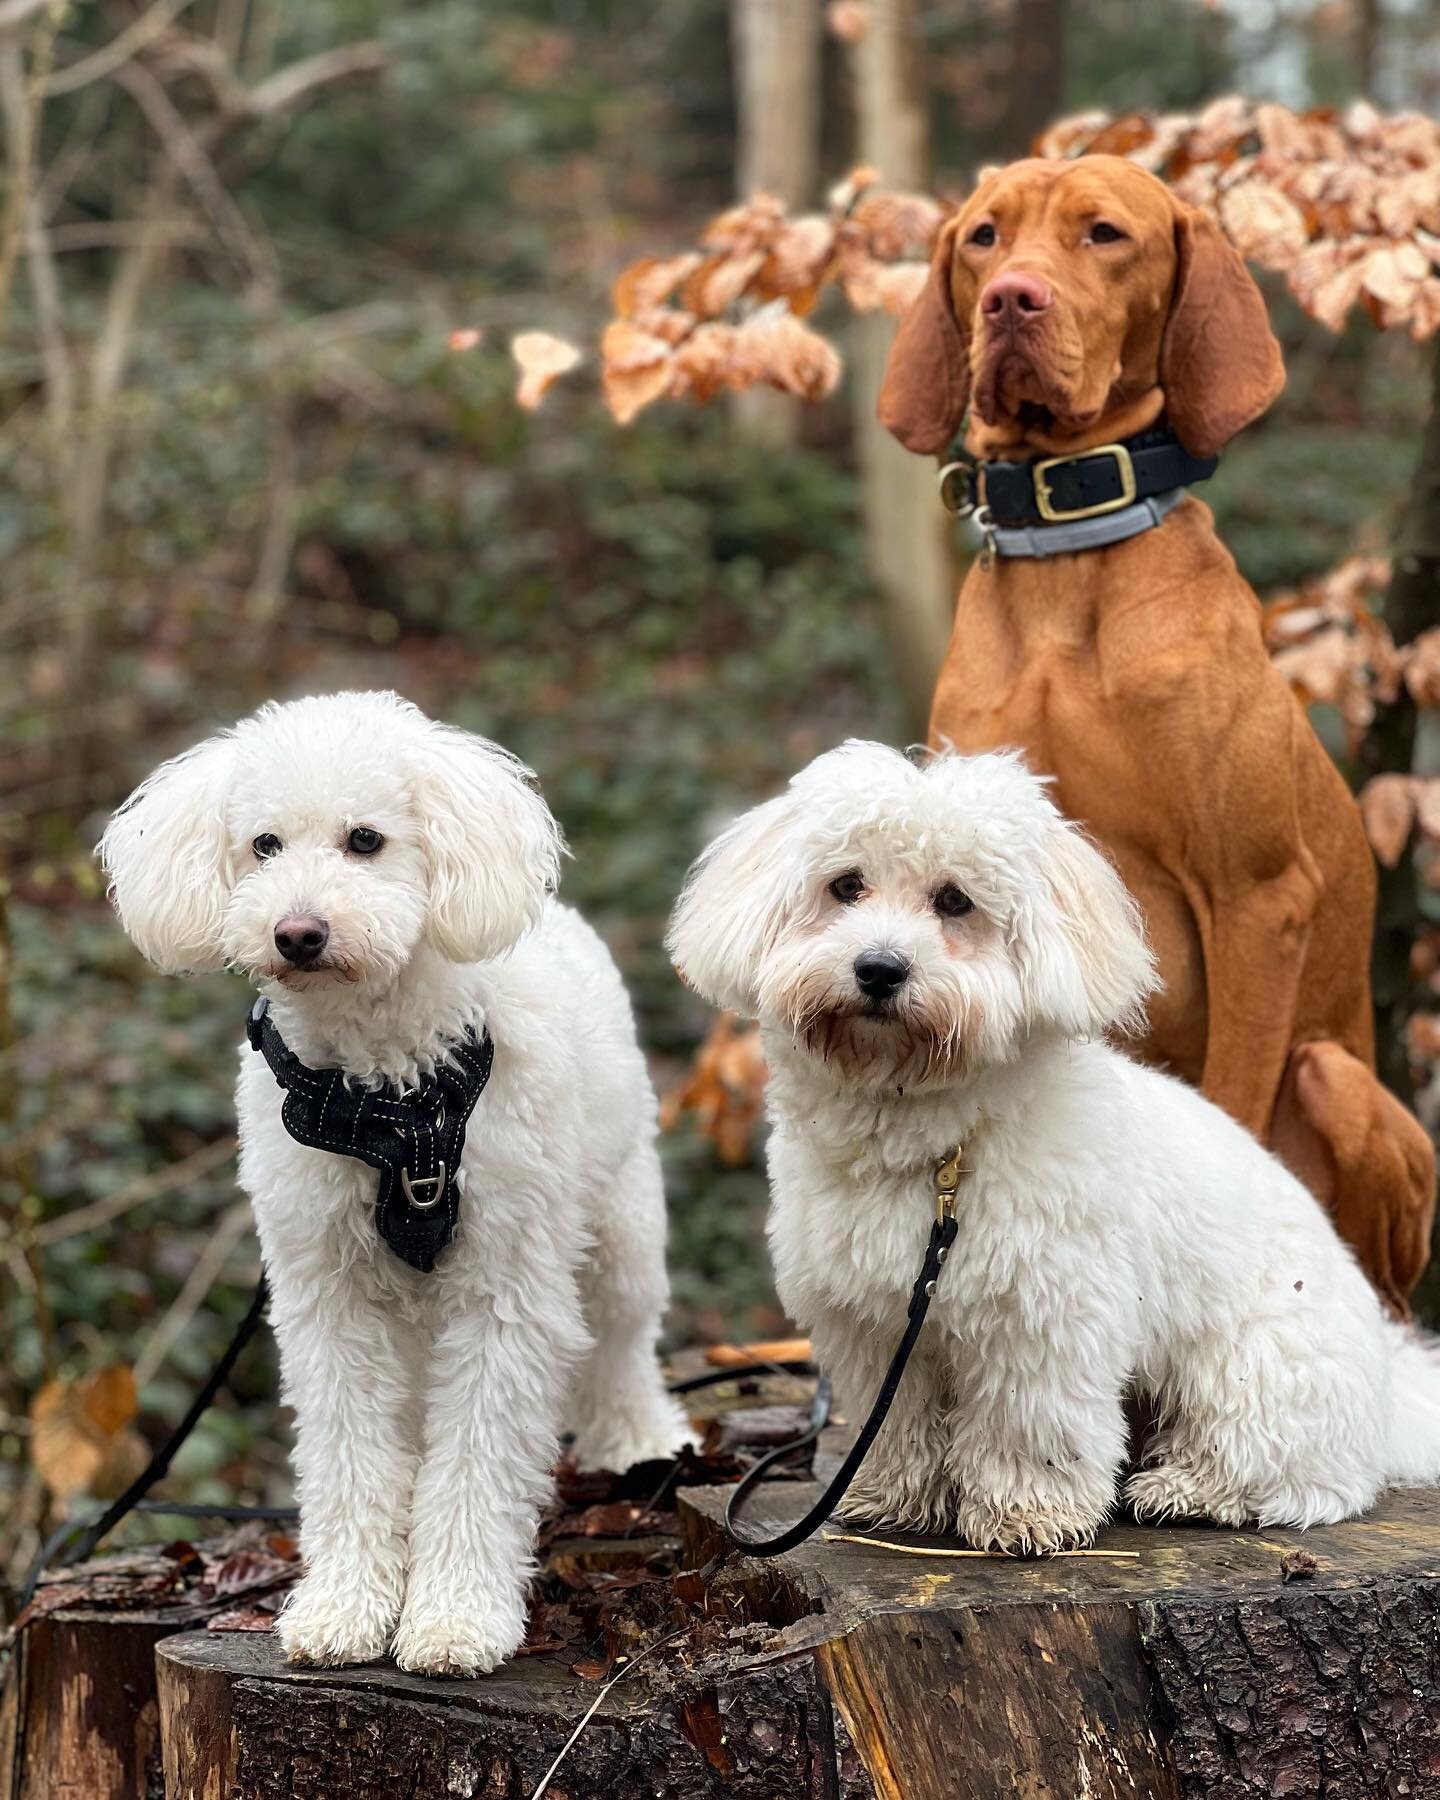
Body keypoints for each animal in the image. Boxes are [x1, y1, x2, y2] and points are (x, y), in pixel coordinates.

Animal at [99, 691, 687, 1670]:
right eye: (264, 845)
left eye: (366, 840)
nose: (297, 932)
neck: (389, 1102)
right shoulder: (326, 1294)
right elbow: (349, 1456)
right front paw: (343, 1609)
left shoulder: (504, 1290)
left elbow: (479, 1458)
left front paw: (456, 1617)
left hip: (620, 1220)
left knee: (622, 1338)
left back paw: (643, 1436)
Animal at [669, 738, 1432, 1555]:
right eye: (846, 885)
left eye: (954, 901)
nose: (879, 968)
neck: (936, 1143)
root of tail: (1391, 1389)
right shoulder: (879, 1326)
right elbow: (898, 1418)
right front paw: (897, 1497)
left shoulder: (1042, 1315)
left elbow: (1028, 1422)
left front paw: (1027, 1512)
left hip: (1257, 1365)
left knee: (1294, 1470)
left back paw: (1186, 1489)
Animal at [878, 154, 1425, 1310]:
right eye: (984, 237)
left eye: (1104, 234)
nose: (1011, 301)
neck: (1067, 565)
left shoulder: (1260, 898)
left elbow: (1234, 1097)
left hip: (1340, 1080)